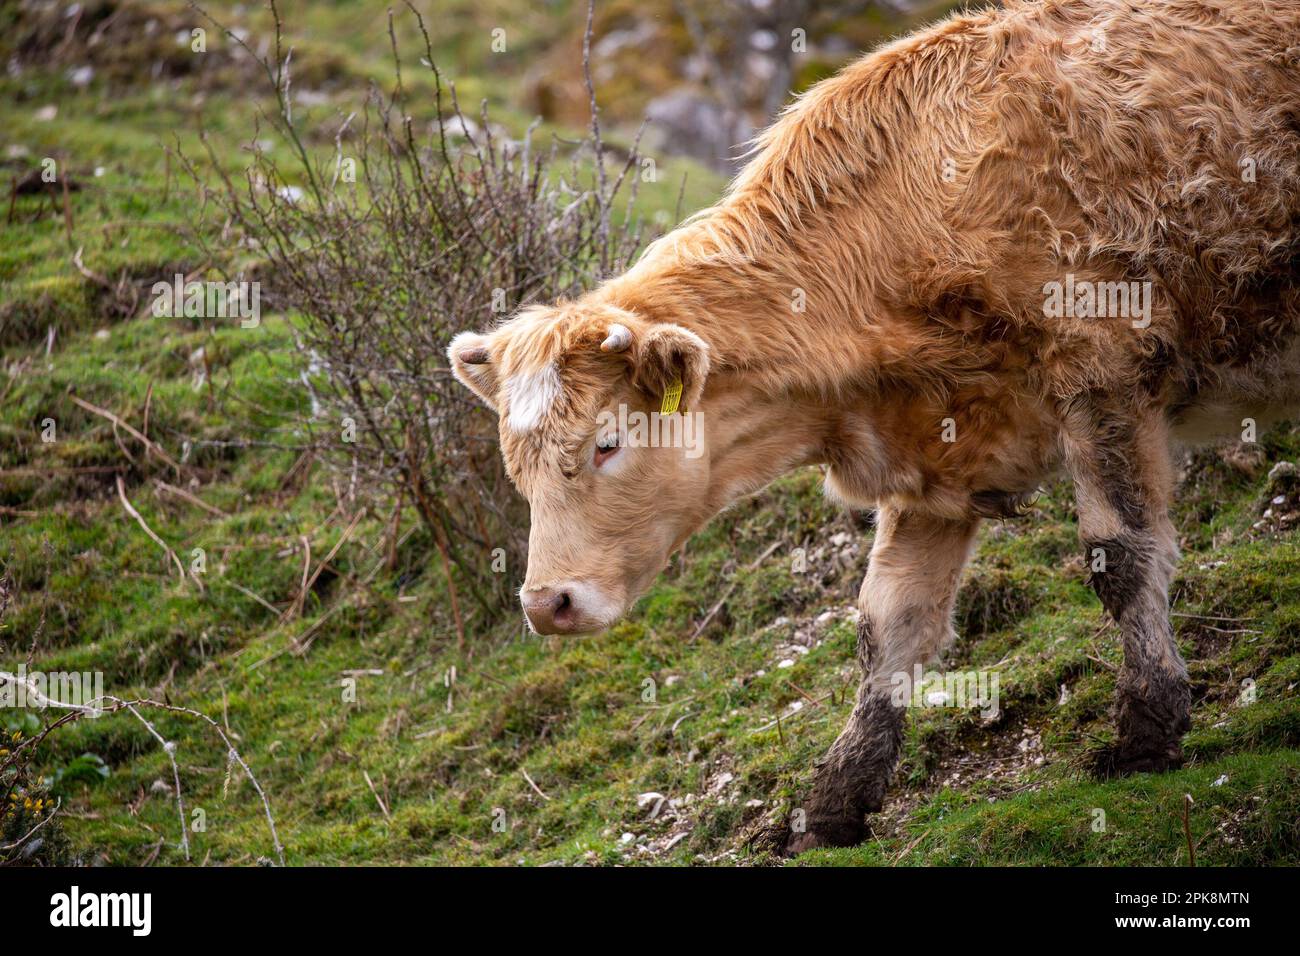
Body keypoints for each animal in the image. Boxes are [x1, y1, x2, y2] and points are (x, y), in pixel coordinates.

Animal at [448, 0, 1300, 854]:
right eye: (517, 469)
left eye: (607, 444)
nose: (546, 604)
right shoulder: (932, 463)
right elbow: (888, 622)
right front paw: (836, 798)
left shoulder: (1104, 380)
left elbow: (1120, 556)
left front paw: (1148, 728)